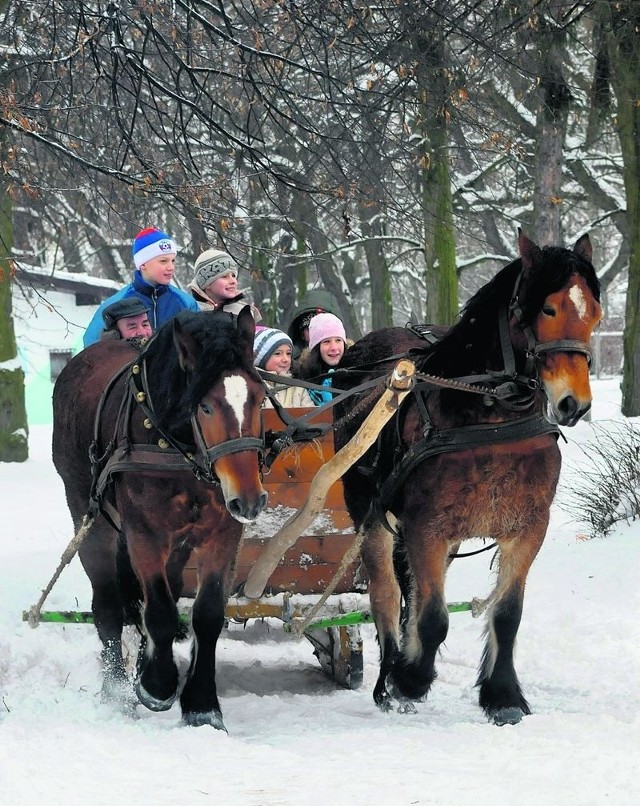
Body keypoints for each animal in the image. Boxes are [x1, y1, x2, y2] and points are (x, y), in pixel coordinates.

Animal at [52, 306, 268, 728]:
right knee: (109, 607)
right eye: (205, 405)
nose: (250, 500)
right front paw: (157, 684)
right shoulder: (144, 535)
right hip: (88, 516)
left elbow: (207, 614)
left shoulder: (222, 534)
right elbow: (161, 612)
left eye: (259, 396)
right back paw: (117, 688)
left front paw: (201, 705)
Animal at [336, 232, 600, 724]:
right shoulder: (426, 526)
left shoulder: (528, 526)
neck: (490, 416)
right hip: (371, 514)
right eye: (548, 308)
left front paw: (503, 695)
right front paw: (409, 680)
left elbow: (506, 613)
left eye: (594, 310)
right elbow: (433, 618)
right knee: (386, 594)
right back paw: (388, 678)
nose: (575, 404)